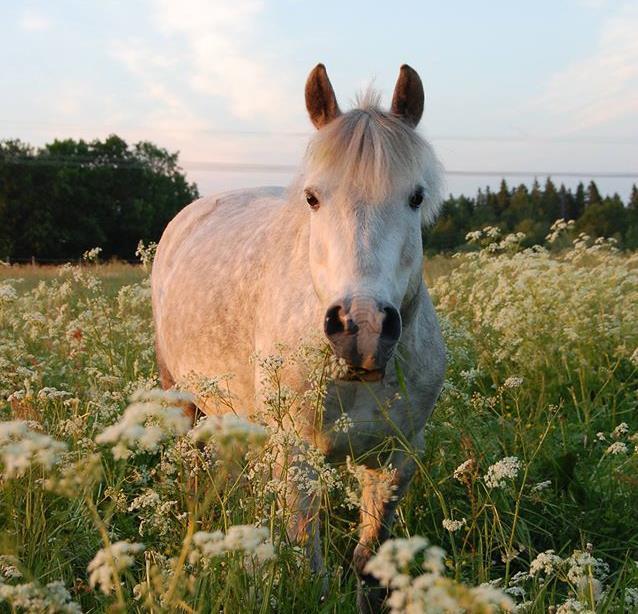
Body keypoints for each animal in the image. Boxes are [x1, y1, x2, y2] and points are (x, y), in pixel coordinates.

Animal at [152, 63, 448, 614]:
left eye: (416, 197)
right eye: (313, 198)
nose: (362, 329)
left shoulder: (397, 460)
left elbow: (369, 562)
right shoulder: (297, 459)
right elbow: (308, 566)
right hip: (180, 399)